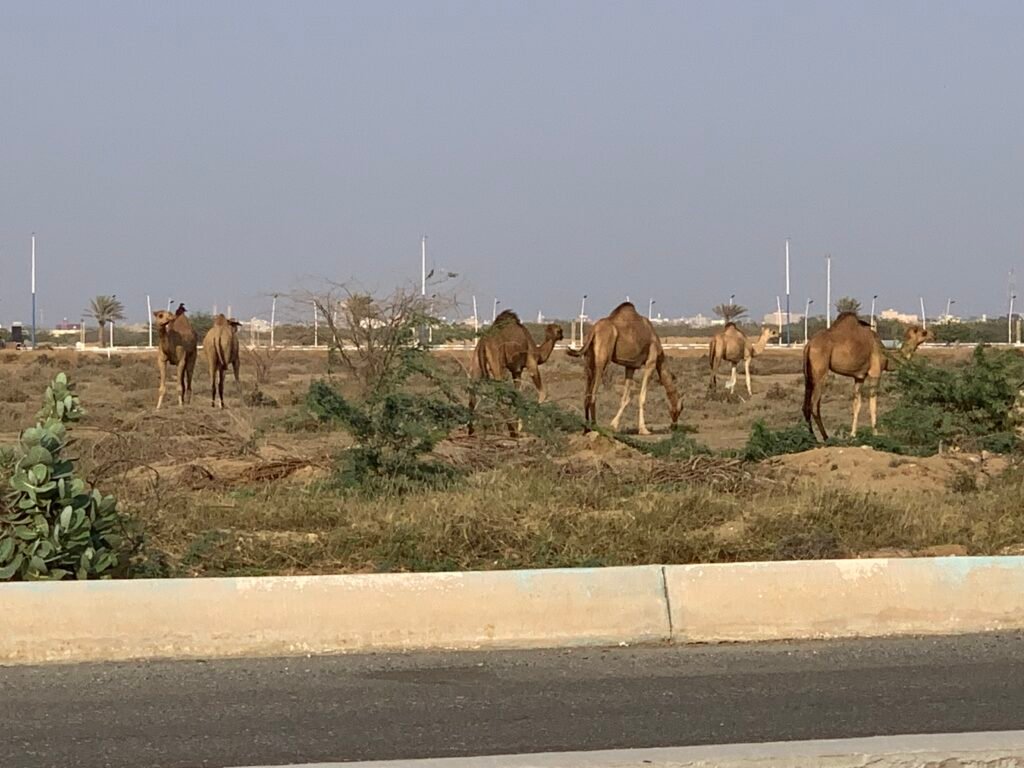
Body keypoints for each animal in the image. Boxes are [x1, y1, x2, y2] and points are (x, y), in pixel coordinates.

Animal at [567, 302, 681, 435]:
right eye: (681, 408)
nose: (674, 426)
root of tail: (593, 331)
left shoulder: (630, 366)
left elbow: (626, 398)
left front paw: (614, 425)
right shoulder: (651, 363)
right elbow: (642, 397)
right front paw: (644, 429)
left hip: (588, 360)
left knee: (587, 393)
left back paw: (586, 429)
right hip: (602, 359)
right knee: (593, 394)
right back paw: (596, 427)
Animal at [803, 312, 932, 440]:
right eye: (924, 332)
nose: (933, 335)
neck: (886, 356)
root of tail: (809, 345)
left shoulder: (859, 377)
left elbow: (856, 405)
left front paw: (853, 434)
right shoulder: (875, 373)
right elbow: (873, 404)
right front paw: (875, 434)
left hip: (808, 375)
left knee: (806, 406)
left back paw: (812, 437)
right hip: (820, 372)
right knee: (814, 405)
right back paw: (825, 437)